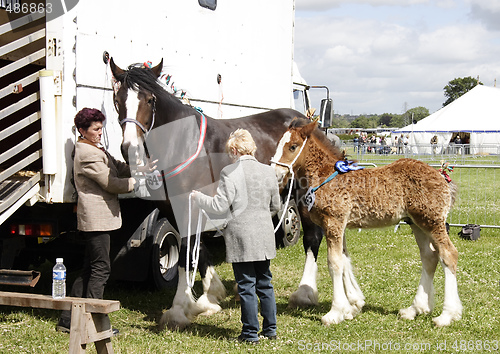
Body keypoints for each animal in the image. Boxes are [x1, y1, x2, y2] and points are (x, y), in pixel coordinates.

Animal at [110, 58, 324, 330]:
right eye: (117, 100)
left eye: (149, 100)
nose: (131, 149)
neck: (182, 142)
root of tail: (306, 120)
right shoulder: (179, 208)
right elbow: (198, 249)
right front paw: (211, 296)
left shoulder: (188, 205)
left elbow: (186, 253)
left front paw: (179, 309)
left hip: (301, 194)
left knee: (312, 238)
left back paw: (305, 292)